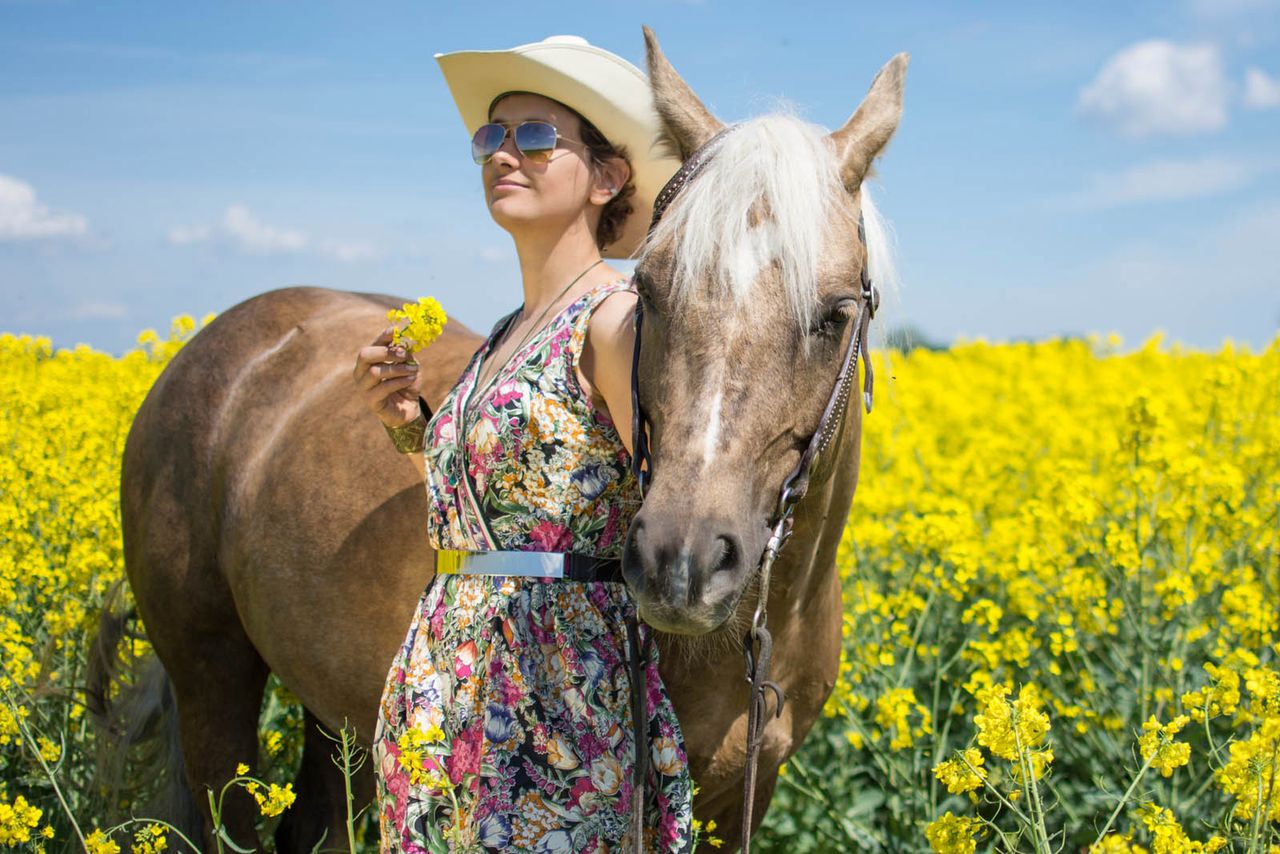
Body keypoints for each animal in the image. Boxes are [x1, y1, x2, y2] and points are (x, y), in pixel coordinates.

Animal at [85, 26, 906, 854]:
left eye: (835, 314)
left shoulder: (746, 792)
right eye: (648, 292)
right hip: (211, 679)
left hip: (329, 708)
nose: (681, 565)